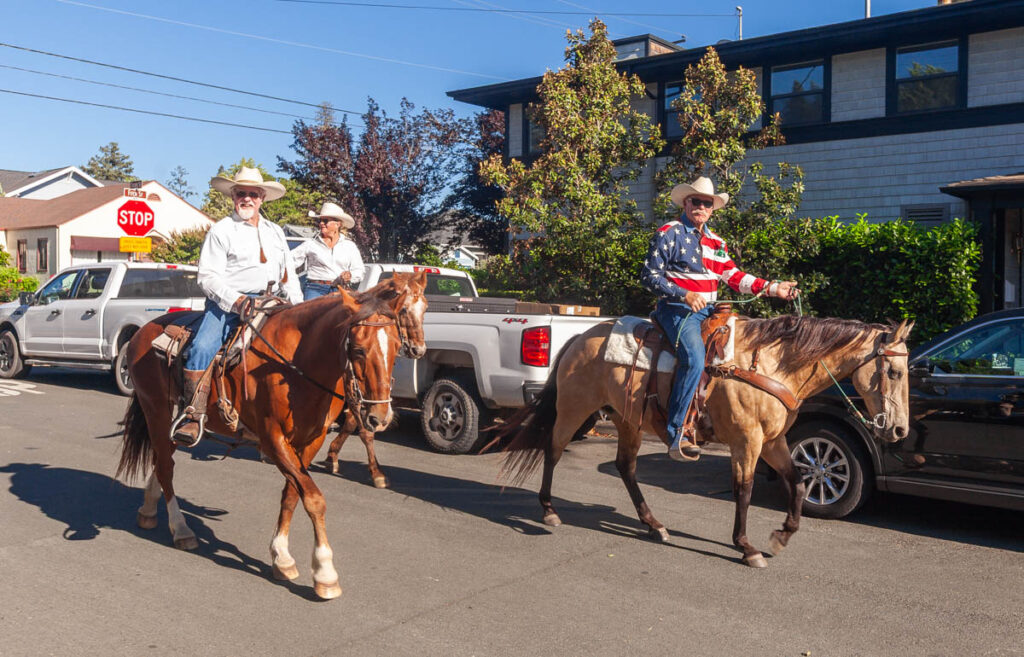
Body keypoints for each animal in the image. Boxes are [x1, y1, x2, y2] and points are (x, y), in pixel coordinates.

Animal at [115, 276, 417, 599]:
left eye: (396, 346)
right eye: (358, 349)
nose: (380, 417)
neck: (295, 365)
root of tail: (144, 331)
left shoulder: (311, 440)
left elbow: (292, 495)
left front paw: (281, 557)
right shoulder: (273, 438)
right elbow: (313, 498)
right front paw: (325, 572)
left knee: (162, 459)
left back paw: (148, 509)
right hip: (156, 409)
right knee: (165, 466)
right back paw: (181, 529)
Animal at [493, 313, 913, 567]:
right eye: (893, 372)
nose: (899, 431)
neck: (773, 365)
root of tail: (581, 337)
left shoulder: (773, 441)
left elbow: (797, 483)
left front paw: (780, 536)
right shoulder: (746, 442)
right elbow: (743, 490)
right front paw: (746, 547)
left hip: (628, 420)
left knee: (626, 467)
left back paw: (654, 525)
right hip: (574, 408)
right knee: (553, 450)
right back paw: (549, 510)